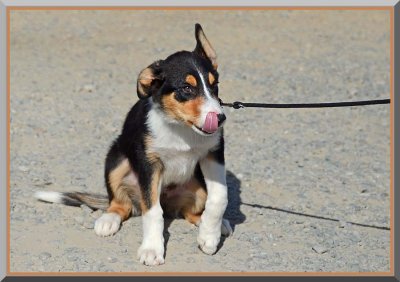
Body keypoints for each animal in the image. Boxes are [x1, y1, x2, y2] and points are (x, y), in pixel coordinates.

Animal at [36, 23, 234, 266]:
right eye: (187, 88)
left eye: (215, 86)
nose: (220, 118)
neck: (180, 128)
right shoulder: (149, 163)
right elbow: (153, 212)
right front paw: (152, 249)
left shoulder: (213, 153)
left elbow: (219, 198)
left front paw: (209, 237)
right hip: (116, 158)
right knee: (121, 204)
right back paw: (108, 220)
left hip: (196, 186)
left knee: (191, 212)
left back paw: (217, 225)